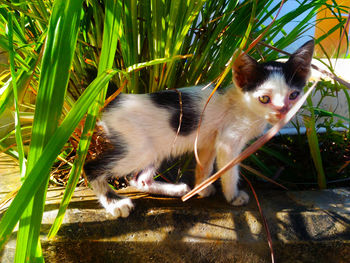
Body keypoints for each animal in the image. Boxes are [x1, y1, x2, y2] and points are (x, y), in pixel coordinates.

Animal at [84, 40, 314, 219]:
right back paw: (115, 204)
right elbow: (229, 171)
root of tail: (112, 101)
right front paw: (233, 196)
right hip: (139, 148)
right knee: (91, 168)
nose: (283, 110)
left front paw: (202, 187)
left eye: (294, 95)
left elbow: (205, 165)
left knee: (139, 179)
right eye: (264, 98)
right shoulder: (228, 142)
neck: (243, 105)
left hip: (155, 147)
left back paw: (176, 189)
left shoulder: (208, 141)